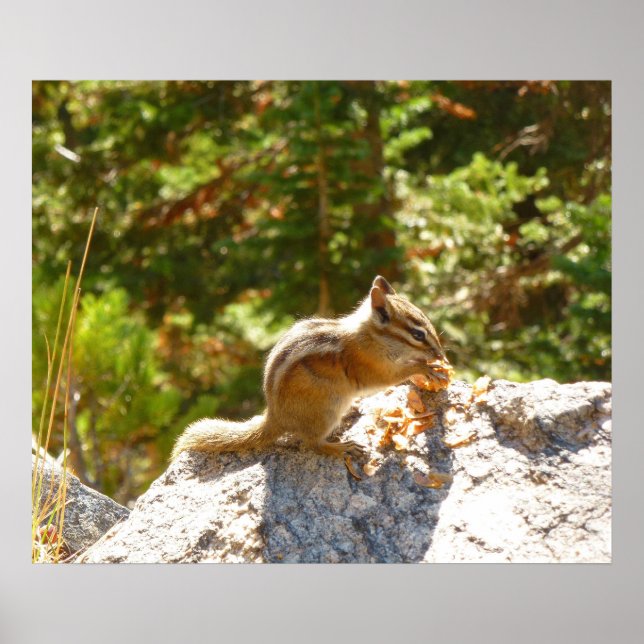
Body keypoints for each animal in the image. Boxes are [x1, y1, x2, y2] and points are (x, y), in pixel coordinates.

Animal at [171, 276, 449, 461]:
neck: (371, 336)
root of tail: (275, 417)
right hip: (326, 409)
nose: (440, 354)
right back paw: (340, 448)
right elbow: (395, 375)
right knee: (312, 443)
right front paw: (425, 367)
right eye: (417, 334)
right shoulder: (371, 368)